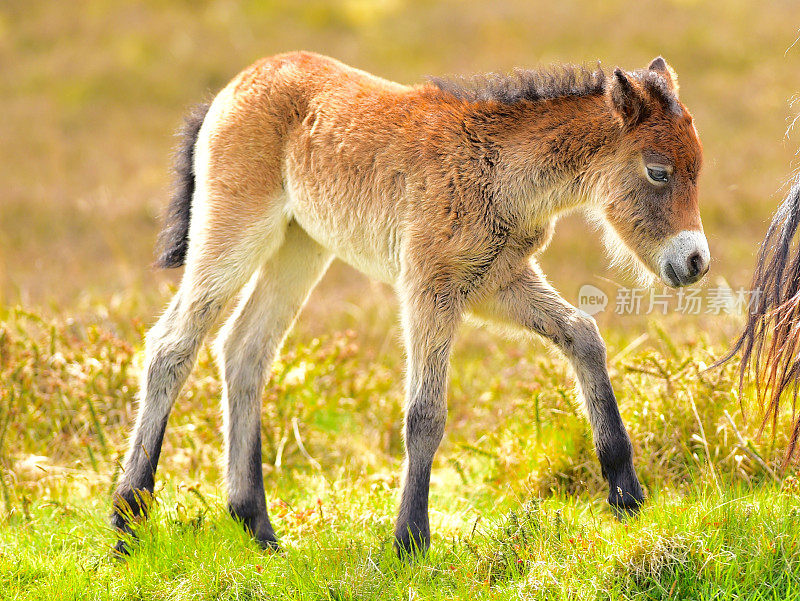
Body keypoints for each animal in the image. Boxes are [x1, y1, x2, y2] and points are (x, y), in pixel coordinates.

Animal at [111, 54, 708, 556]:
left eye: (698, 169)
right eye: (658, 170)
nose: (696, 261)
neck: (499, 172)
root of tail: (232, 86)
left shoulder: (497, 284)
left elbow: (583, 333)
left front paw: (625, 493)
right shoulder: (429, 286)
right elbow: (425, 412)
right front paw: (410, 540)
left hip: (300, 246)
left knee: (245, 350)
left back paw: (257, 527)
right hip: (234, 231)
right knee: (172, 344)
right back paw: (127, 520)